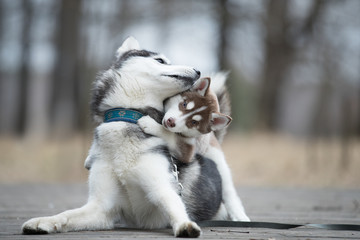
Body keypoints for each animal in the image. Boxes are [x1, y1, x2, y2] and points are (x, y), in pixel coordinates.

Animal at [139, 76, 250, 222]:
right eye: (184, 104)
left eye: (194, 122)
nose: (171, 122)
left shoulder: (187, 151)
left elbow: (170, 135)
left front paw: (150, 124)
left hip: (218, 162)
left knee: (228, 189)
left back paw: (239, 215)